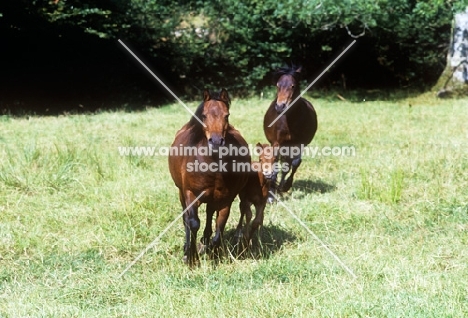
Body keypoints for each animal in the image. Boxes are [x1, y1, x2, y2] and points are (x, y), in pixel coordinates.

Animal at [167, 89, 249, 266]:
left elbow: (219, 229)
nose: (216, 141)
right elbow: (193, 223)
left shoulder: (225, 200)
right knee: (186, 219)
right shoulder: (191, 194)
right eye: (204, 116)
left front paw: (212, 253)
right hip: (181, 193)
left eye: (227, 115)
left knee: (210, 213)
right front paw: (191, 258)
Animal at [264, 65, 318, 196]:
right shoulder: (276, 143)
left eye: (293, 86)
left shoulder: (300, 144)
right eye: (278, 85)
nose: (280, 107)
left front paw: (285, 186)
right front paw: (271, 192)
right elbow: (275, 164)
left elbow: (295, 163)